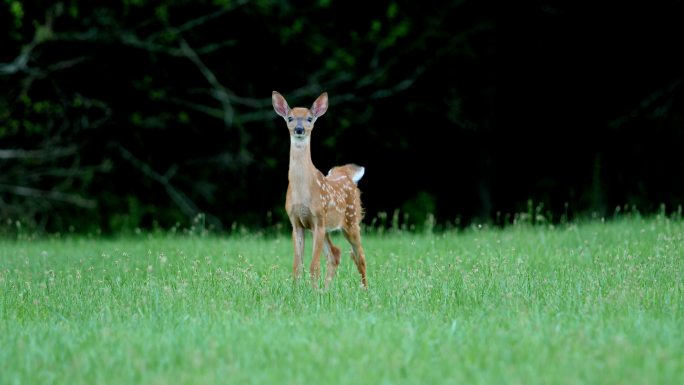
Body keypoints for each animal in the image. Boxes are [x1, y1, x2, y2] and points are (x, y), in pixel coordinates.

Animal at [272, 91, 368, 288]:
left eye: (309, 118)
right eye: (290, 118)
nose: (299, 129)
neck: (303, 190)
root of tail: (346, 174)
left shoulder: (317, 219)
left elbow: (313, 265)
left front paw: (311, 290)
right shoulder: (296, 222)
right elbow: (297, 265)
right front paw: (297, 289)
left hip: (351, 219)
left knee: (360, 256)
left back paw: (365, 289)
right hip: (327, 226)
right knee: (335, 254)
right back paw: (326, 289)